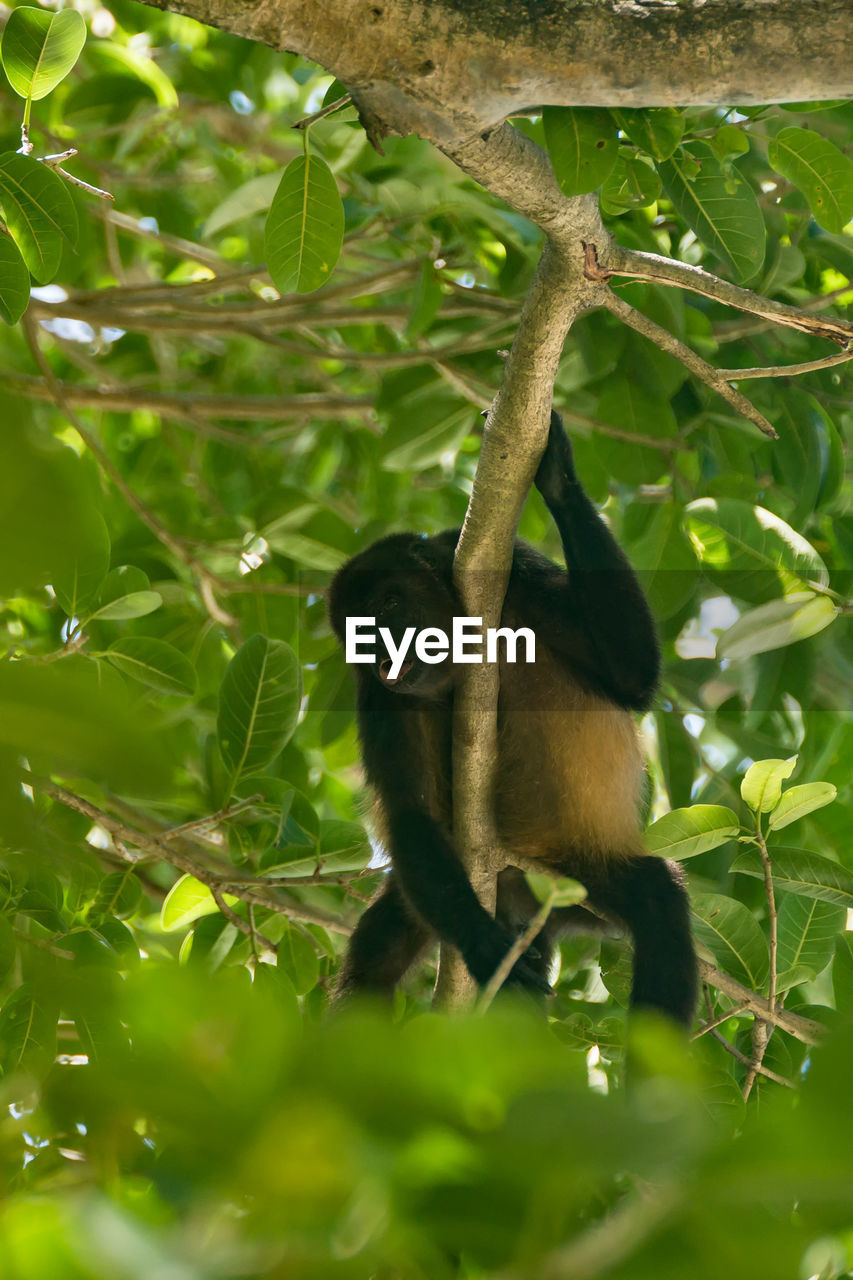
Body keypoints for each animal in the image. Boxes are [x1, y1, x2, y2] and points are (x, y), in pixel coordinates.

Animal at [326, 409, 696, 1029]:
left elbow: (635, 676)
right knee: (380, 947)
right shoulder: (378, 696)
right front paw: (483, 949)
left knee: (657, 900)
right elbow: (409, 813)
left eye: (389, 606)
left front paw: (558, 475)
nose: (380, 651)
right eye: (358, 632)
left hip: (567, 881)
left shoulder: (518, 574)